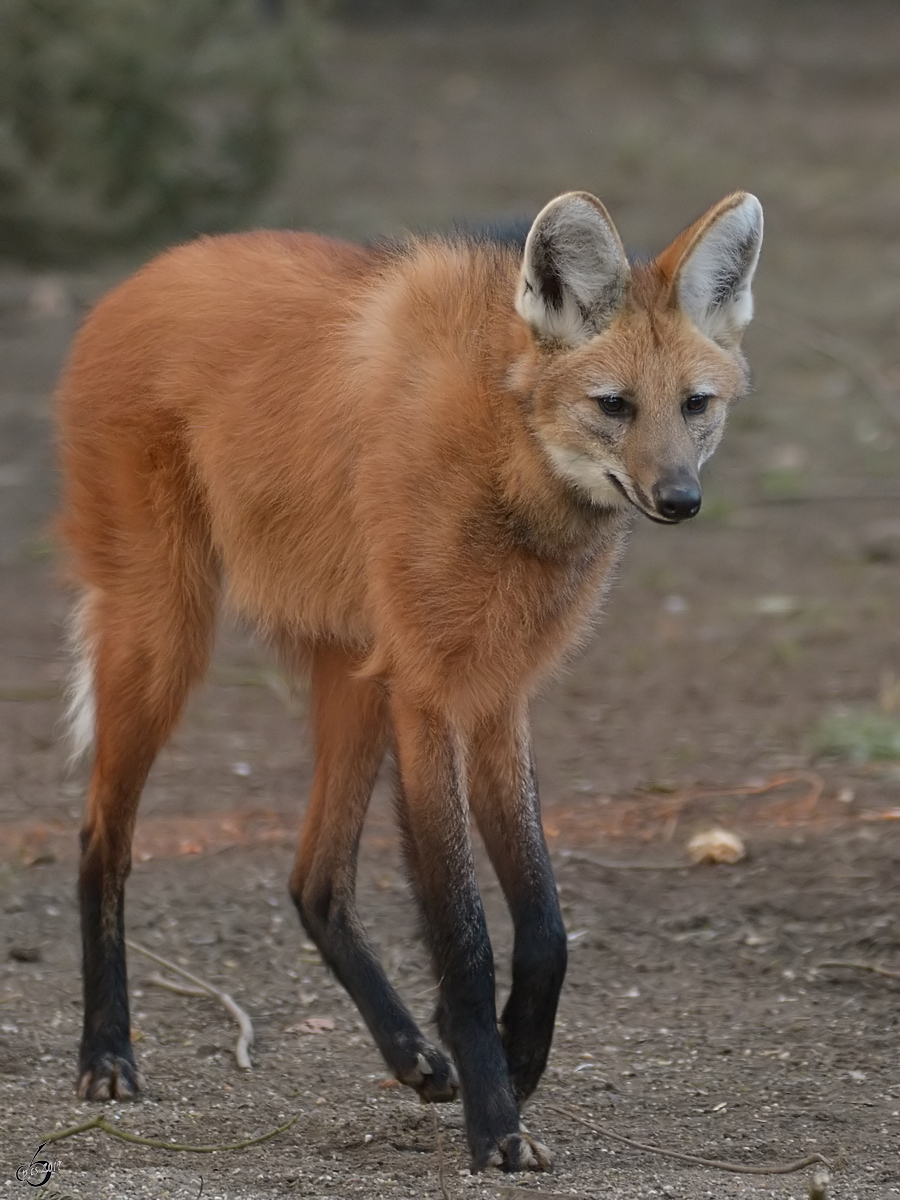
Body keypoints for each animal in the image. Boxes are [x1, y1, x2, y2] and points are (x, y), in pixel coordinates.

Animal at [58, 189, 763, 1171]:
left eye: (695, 405)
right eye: (613, 406)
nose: (681, 499)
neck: (507, 458)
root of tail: (135, 280)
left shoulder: (497, 696)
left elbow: (545, 926)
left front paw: (516, 1057)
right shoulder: (428, 694)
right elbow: (464, 935)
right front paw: (497, 1124)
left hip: (352, 673)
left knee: (314, 880)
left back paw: (412, 1055)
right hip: (168, 634)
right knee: (102, 839)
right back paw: (108, 1054)